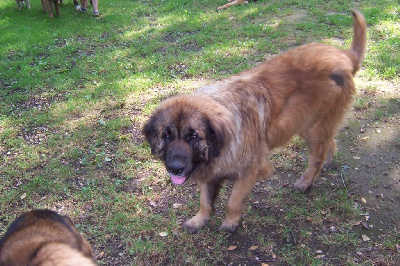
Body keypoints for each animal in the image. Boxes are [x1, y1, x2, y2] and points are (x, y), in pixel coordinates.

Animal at [144, 9, 366, 233]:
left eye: (193, 136)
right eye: (167, 135)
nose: (174, 168)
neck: (224, 142)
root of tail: (343, 55)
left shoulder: (249, 170)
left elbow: (233, 201)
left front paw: (230, 223)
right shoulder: (211, 171)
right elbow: (205, 200)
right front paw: (199, 220)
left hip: (313, 128)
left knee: (316, 158)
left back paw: (305, 182)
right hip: (308, 123)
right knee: (329, 140)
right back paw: (328, 161)